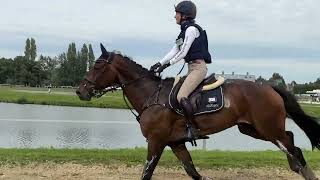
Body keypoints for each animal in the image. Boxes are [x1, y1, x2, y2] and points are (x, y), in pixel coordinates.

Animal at [77, 44, 320, 180]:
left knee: (293, 148)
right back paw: (295, 167)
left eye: (97, 66)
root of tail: (269, 87)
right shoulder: (175, 143)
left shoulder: (156, 142)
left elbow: (147, 172)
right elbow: (192, 171)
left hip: (268, 129)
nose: (81, 90)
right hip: (252, 129)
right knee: (291, 140)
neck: (152, 95)